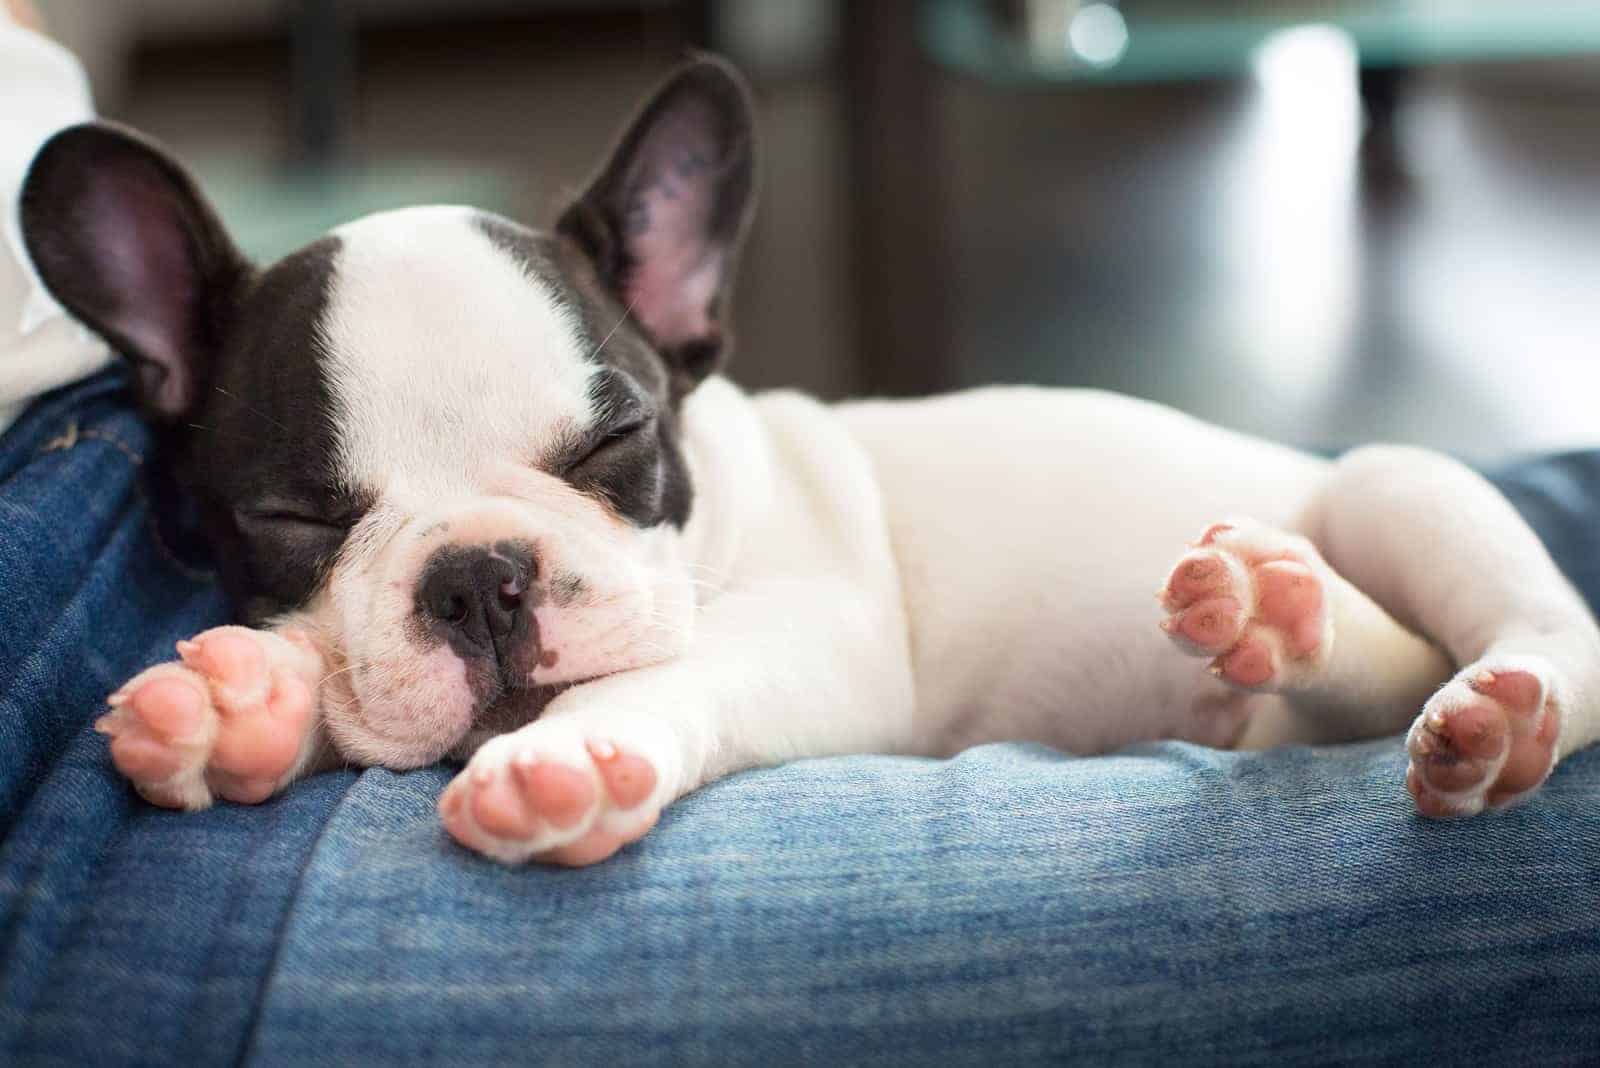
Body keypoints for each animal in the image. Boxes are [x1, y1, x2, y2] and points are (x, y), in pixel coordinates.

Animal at [18, 56, 1593, 869]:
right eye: (292, 520)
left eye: (618, 441)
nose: (477, 580)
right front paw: (248, 707)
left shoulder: (819, 638)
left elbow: (667, 675)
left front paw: (568, 752)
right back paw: (1273, 610)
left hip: (1396, 485)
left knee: (1523, 640)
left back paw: (1471, 706)